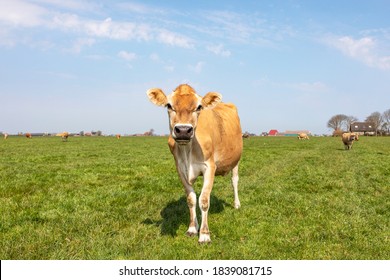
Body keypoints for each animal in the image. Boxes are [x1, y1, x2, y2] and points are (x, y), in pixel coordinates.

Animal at [147, 84, 242, 244]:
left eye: (199, 107)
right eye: (169, 105)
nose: (183, 130)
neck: (188, 151)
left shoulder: (210, 167)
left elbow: (204, 200)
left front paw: (204, 234)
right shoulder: (180, 169)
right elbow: (191, 199)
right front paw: (192, 228)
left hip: (236, 160)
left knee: (234, 181)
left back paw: (236, 204)